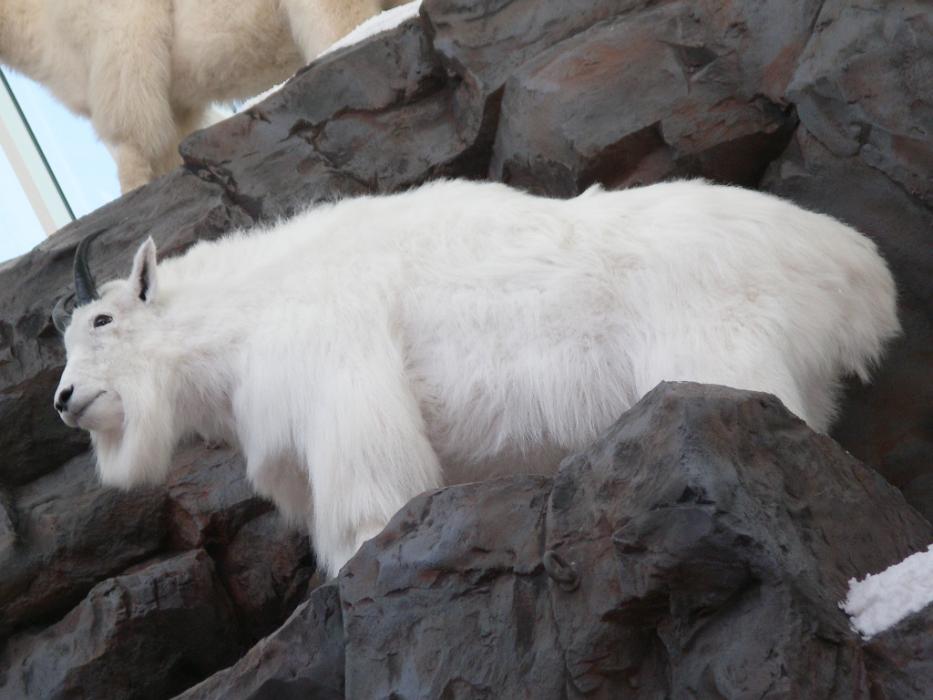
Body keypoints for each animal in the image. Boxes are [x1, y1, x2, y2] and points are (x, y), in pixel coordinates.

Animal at [52, 179, 900, 576]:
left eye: (101, 321)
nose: (65, 400)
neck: (246, 314)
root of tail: (854, 271)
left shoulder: (345, 390)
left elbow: (365, 507)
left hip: (723, 356)